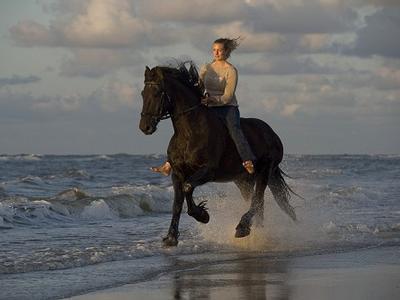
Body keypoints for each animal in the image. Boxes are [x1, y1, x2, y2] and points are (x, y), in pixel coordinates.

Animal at [139, 61, 296, 246]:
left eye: (157, 93)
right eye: (143, 93)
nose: (145, 127)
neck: (189, 133)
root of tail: (272, 133)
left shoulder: (208, 170)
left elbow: (187, 187)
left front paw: (202, 215)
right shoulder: (177, 173)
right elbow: (177, 203)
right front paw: (171, 237)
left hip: (265, 171)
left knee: (258, 200)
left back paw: (242, 228)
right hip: (244, 180)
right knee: (259, 202)